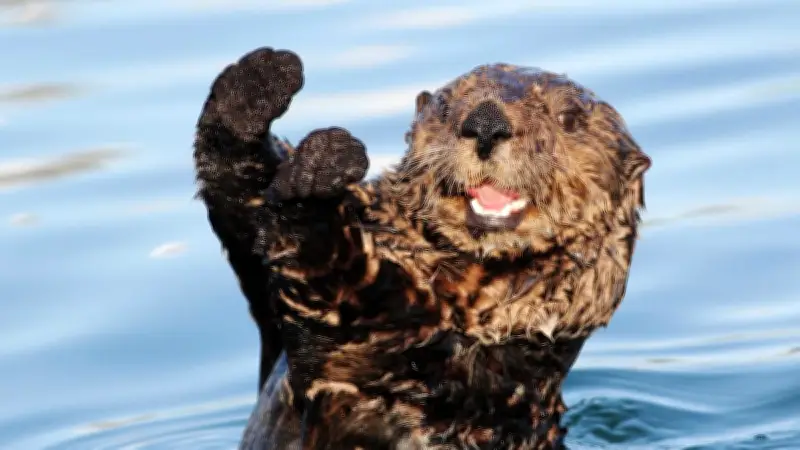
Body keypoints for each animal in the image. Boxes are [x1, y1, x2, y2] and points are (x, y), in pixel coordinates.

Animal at [193, 47, 651, 450]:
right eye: (446, 109)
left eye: (568, 118)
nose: (486, 122)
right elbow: (242, 208)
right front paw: (257, 84)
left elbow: (334, 283)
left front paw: (318, 173)